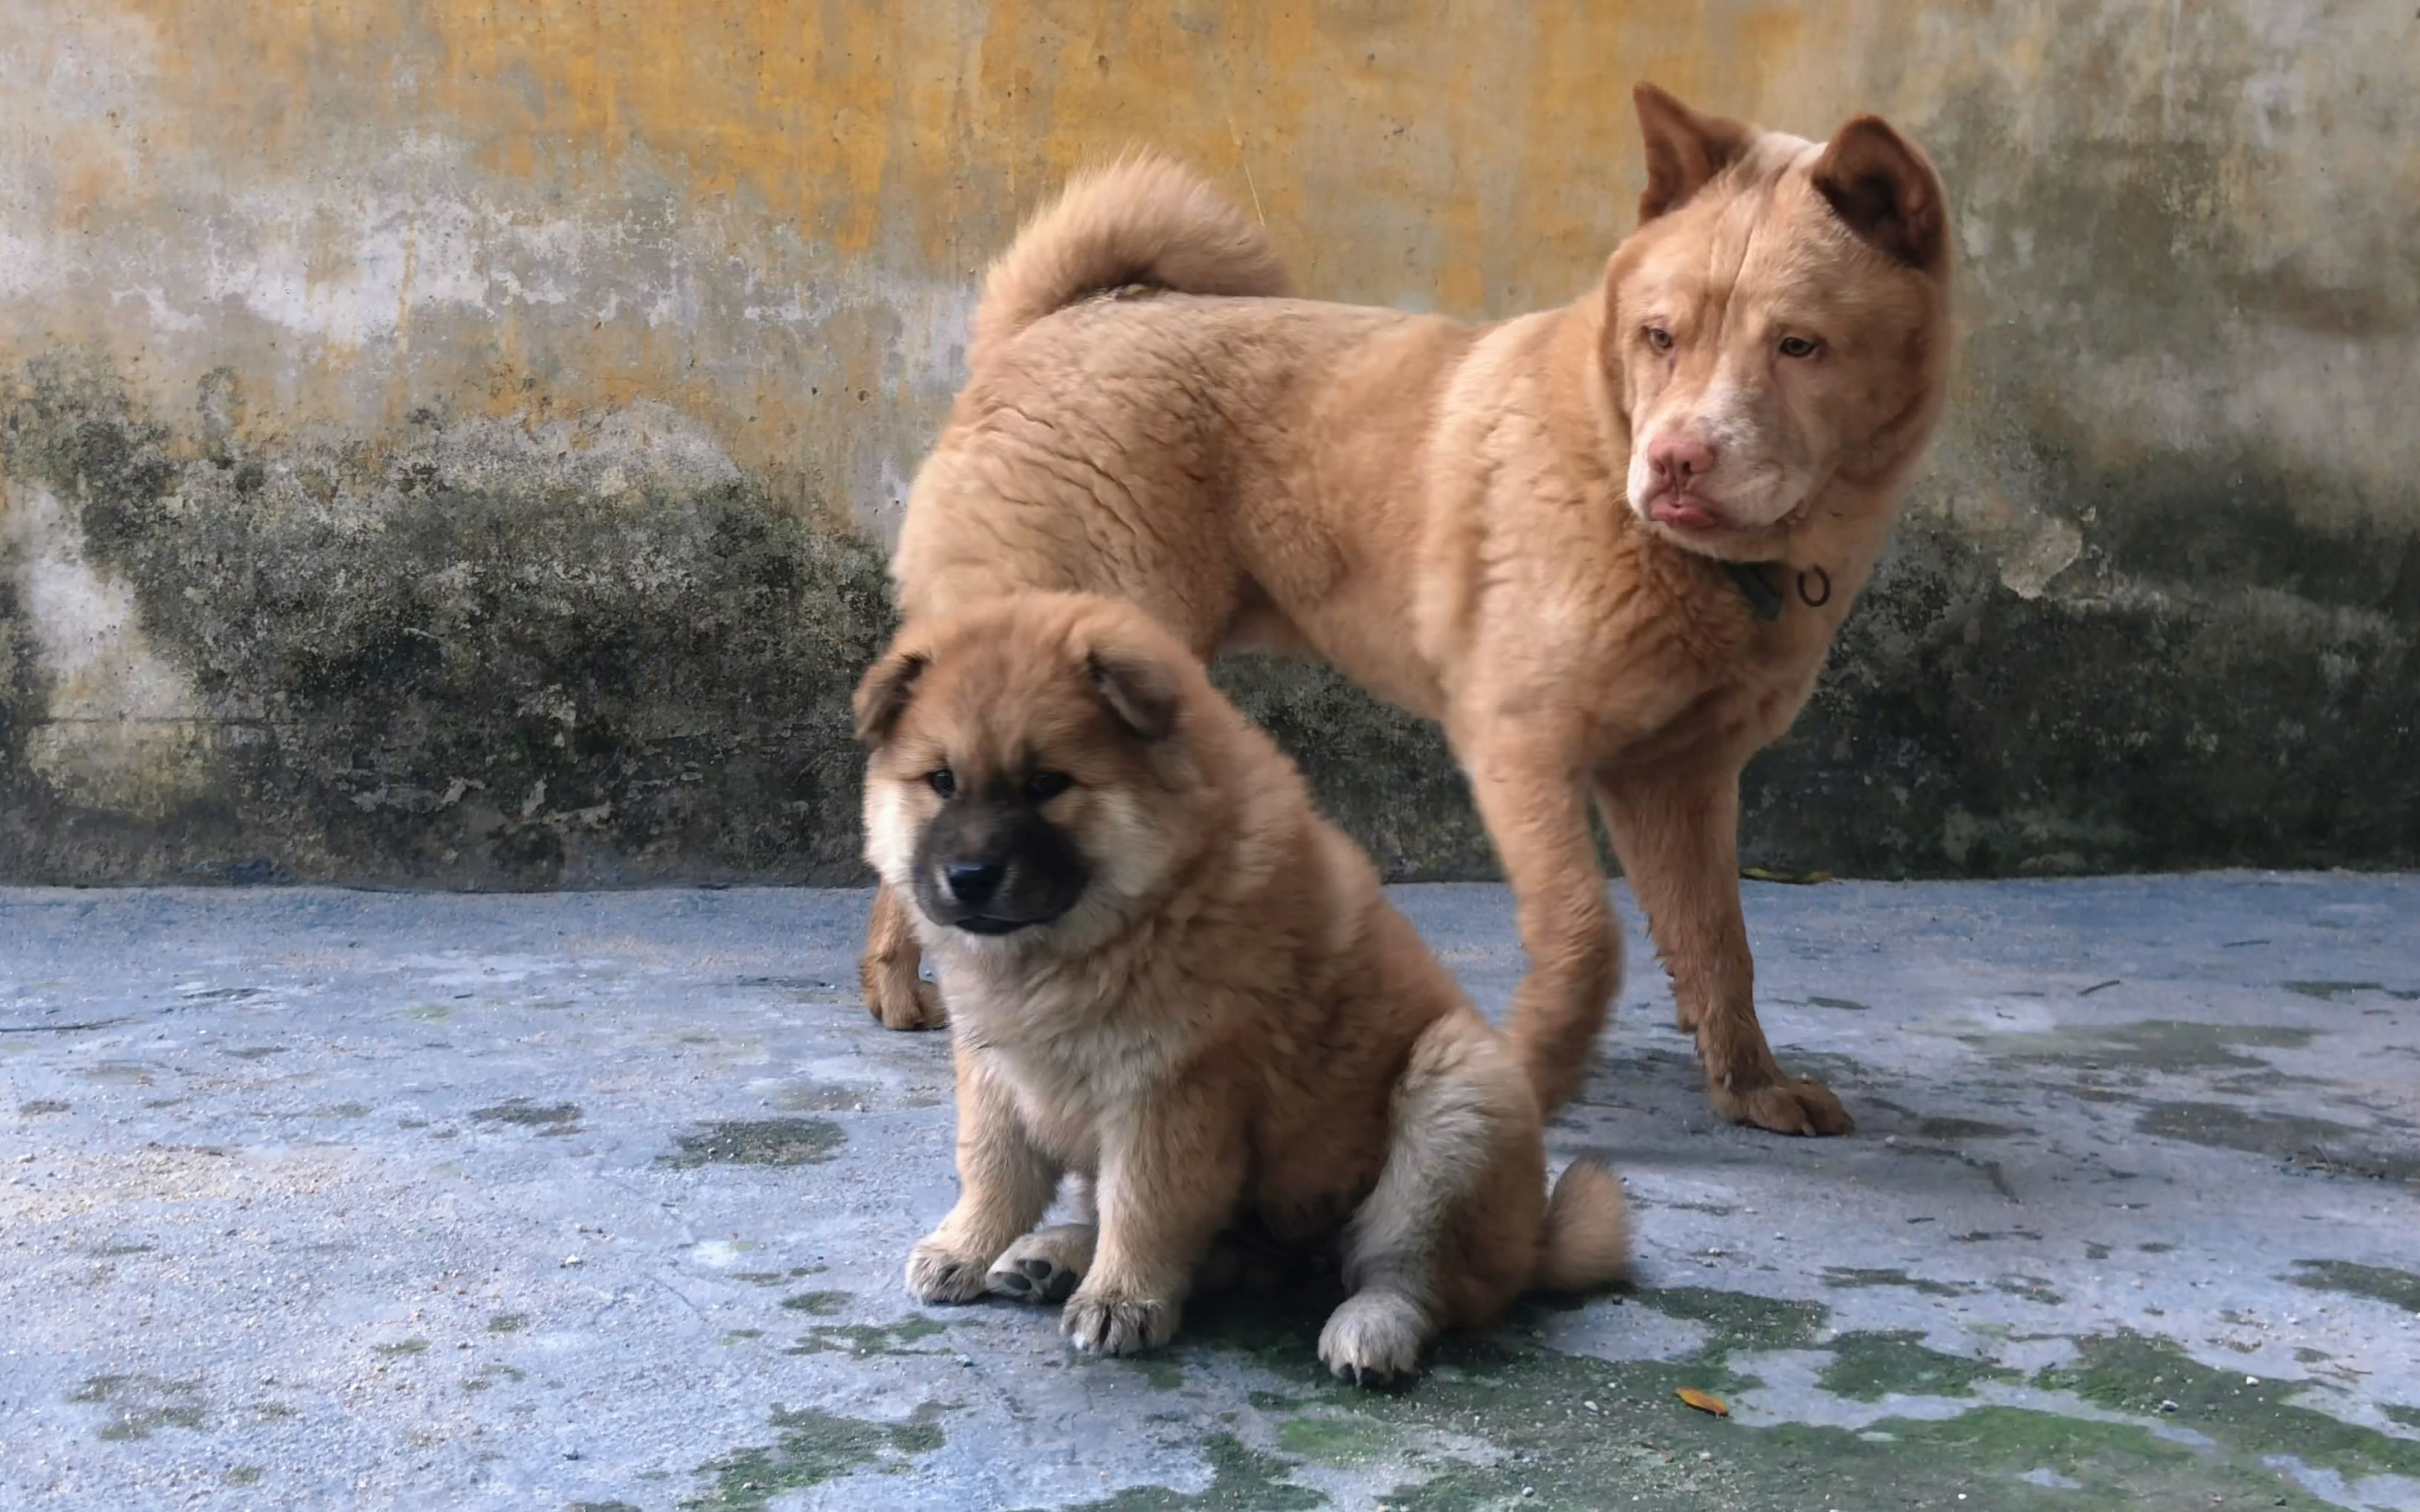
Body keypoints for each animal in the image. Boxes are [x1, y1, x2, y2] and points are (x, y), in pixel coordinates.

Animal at [852, 590, 1626, 1383]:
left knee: (1411, 1273)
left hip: (1457, 1093)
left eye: (1046, 785)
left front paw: (1120, 1299)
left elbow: (1145, 1204)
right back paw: (1052, 1256)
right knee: (1205, 1255)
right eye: (941, 781)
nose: (969, 878)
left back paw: (1370, 1329)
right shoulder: (996, 1069)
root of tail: (1536, 1242)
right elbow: (994, 1168)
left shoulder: (1173, 1090)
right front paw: (964, 1250)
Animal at [861, 82, 1955, 1132]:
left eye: (1799, 346)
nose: (1676, 460)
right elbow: (1585, 936)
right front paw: (1536, 1074)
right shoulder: (1522, 744)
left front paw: (1750, 1084)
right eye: (1660, 336)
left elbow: (1721, 942)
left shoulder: (1677, 778)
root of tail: (1043, 328)